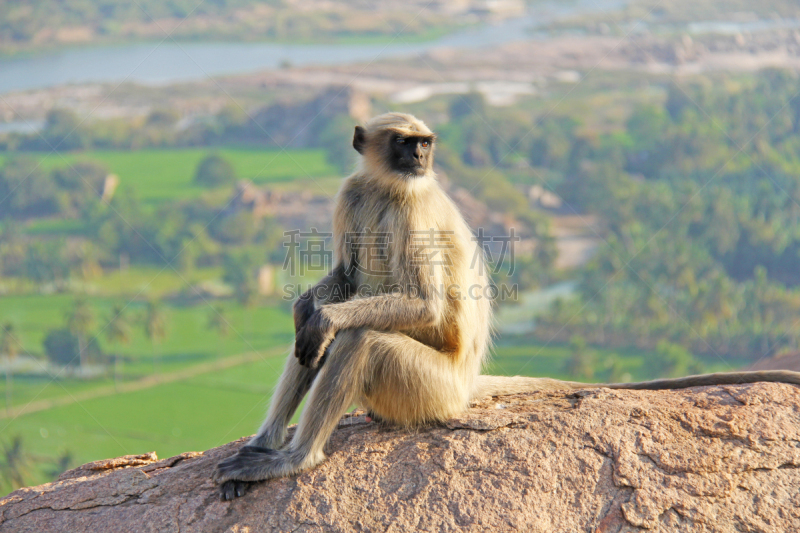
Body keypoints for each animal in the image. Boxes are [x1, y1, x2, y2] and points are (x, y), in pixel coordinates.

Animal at [212, 111, 800, 498]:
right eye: (404, 143)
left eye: (424, 144)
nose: (421, 157)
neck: (388, 187)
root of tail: (467, 384)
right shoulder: (352, 193)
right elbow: (341, 280)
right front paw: (307, 306)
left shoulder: (414, 208)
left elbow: (419, 307)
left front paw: (326, 316)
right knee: (318, 339)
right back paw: (269, 442)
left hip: (429, 389)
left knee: (360, 338)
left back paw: (296, 459)